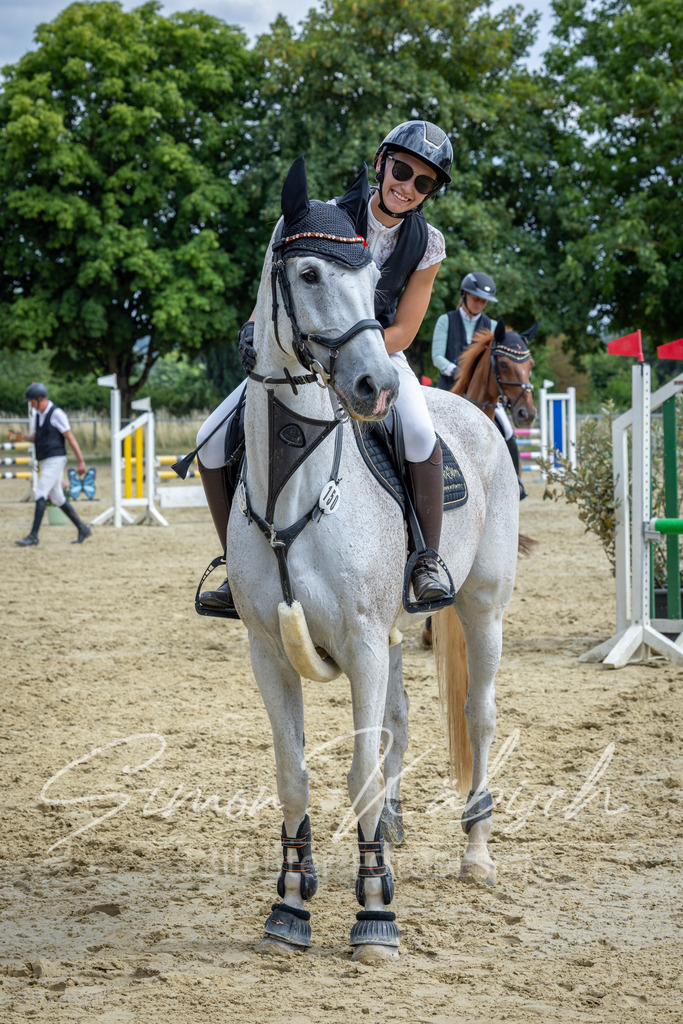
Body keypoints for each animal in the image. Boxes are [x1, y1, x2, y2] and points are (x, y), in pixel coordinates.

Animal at [226, 156, 519, 962]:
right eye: (308, 273)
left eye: (370, 282)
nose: (375, 388)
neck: (293, 489)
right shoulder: (268, 650)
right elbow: (293, 770)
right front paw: (291, 904)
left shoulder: (358, 641)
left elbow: (355, 769)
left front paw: (374, 915)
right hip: (390, 635)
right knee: (400, 719)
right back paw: (390, 827)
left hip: (481, 608)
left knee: (478, 716)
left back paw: (476, 853)